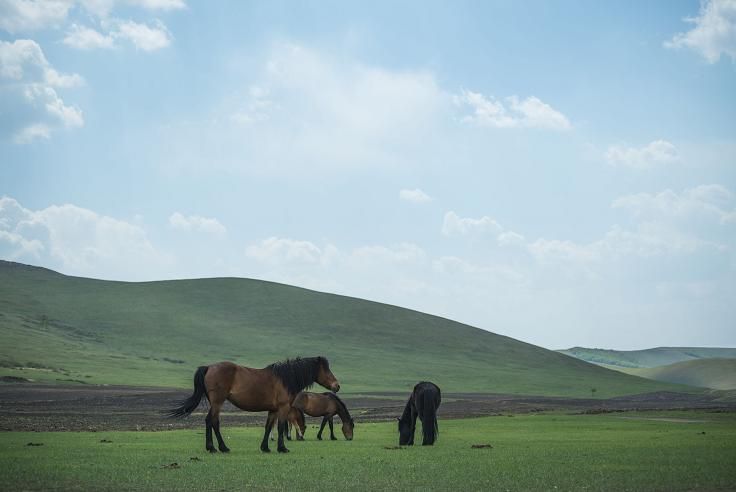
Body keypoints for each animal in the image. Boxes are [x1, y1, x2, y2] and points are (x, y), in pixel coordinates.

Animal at [168, 354, 340, 454]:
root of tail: (209, 367)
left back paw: (216, 447)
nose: (337, 386)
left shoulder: (273, 410)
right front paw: (282, 448)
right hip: (218, 402)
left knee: (212, 421)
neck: (285, 378)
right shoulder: (283, 408)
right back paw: (217, 448)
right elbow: (280, 427)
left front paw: (265, 447)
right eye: (326, 370)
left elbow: (268, 427)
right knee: (212, 421)